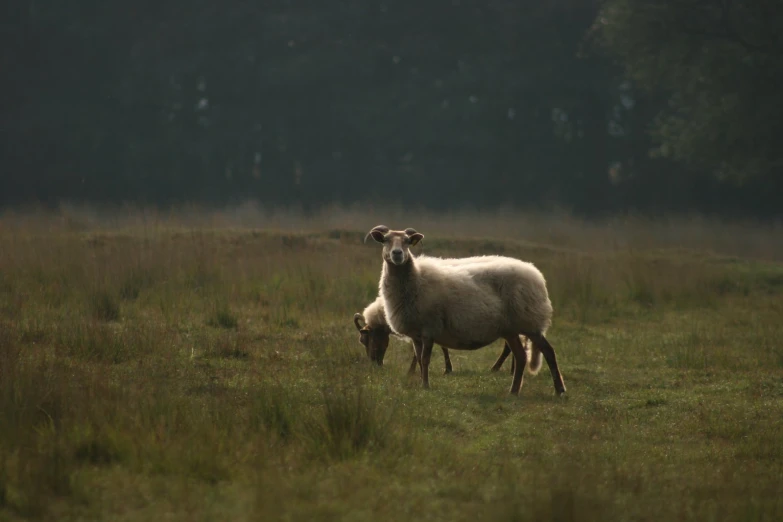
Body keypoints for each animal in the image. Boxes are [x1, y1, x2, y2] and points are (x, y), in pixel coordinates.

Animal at [364, 223, 568, 394]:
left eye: (407, 242)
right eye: (385, 240)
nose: (397, 254)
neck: (415, 278)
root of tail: (536, 274)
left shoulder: (429, 328)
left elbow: (425, 359)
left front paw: (426, 385)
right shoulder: (416, 334)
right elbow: (420, 359)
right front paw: (421, 380)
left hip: (529, 322)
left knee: (548, 352)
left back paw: (559, 390)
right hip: (511, 328)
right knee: (521, 356)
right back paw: (514, 391)